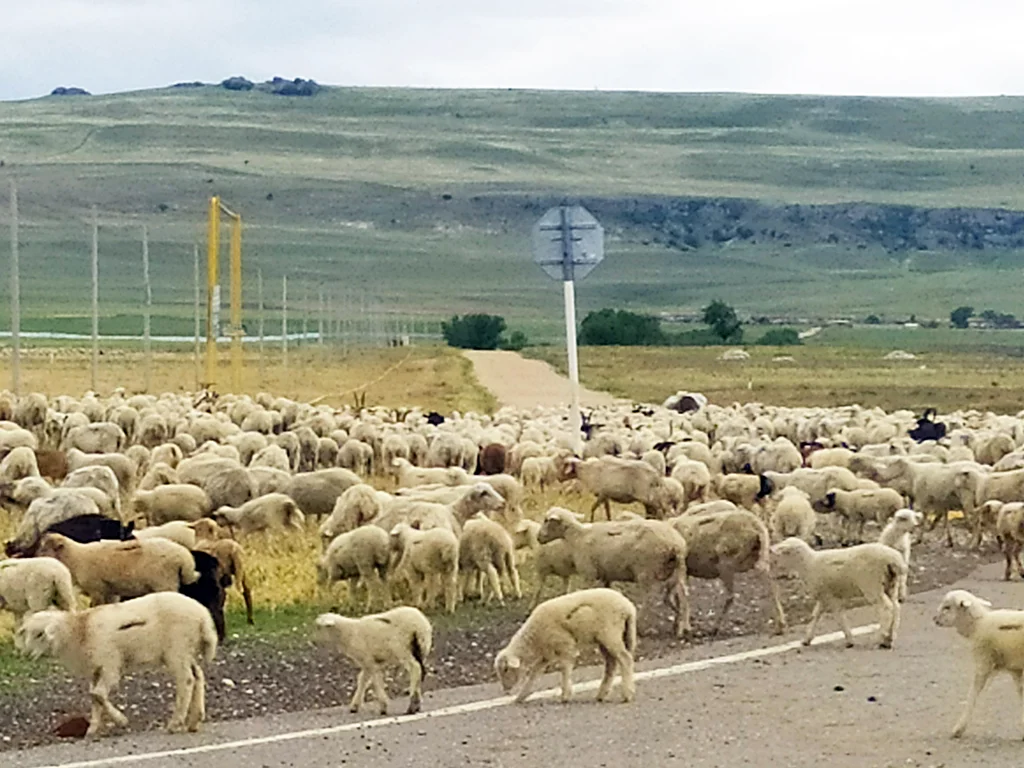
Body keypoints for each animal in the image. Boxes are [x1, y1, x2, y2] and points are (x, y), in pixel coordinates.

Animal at [14, 593, 219, 737]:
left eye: (40, 634)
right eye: (28, 634)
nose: (27, 655)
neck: (78, 631)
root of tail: (203, 615)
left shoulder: (110, 665)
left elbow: (97, 694)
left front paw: (121, 720)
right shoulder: (96, 669)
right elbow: (94, 697)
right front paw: (92, 728)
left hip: (177, 650)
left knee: (187, 681)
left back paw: (176, 722)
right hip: (186, 651)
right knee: (198, 675)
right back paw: (195, 720)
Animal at [493, 589, 634, 708]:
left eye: (505, 669)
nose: (506, 690)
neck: (533, 639)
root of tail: (628, 606)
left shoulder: (566, 647)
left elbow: (564, 670)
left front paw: (565, 696)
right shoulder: (546, 656)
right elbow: (533, 676)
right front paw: (520, 697)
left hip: (610, 634)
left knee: (625, 658)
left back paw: (627, 694)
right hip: (603, 640)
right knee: (611, 663)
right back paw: (601, 695)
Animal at [770, 536, 905, 651]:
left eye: (783, 551)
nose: (771, 549)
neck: (808, 564)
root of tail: (893, 559)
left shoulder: (831, 598)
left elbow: (839, 617)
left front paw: (849, 641)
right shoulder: (823, 597)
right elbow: (815, 616)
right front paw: (806, 639)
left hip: (872, 585)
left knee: (886, 608)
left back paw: (880, 638)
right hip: (891, 585)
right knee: (896, 608)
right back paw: (889, 639)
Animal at [933, 589, 1024, 741]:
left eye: (947, 607)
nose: (935, 619)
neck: (978, 624)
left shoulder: (983, 662)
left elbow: (973, 693)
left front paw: (958, 729)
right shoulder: (1015, 669)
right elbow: (1021, 694)